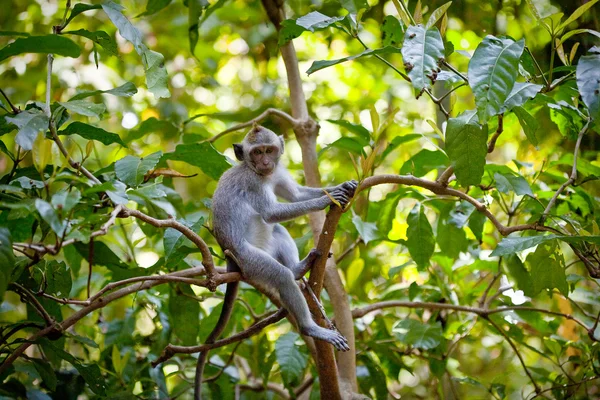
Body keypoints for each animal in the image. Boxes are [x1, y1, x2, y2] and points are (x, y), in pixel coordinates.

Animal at [196, 126, 356, 400]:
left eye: (269, 150)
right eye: (256, 152)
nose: (265, 162)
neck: (258, 173)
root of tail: (230, 259)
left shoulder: (277, 172)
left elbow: (296, 194)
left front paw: (343, 186)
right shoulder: (252, 183)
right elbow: (272, 212)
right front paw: (329, 199)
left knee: (279, 231)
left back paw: (298, 269)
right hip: (251, 260)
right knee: (279, 274)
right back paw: (309, 327)